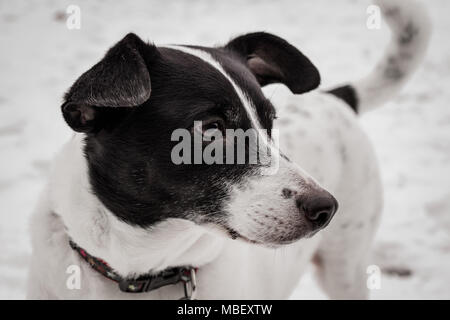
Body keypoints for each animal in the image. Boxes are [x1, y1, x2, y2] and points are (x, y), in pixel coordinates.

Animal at [27, 0, 428, 300]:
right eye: (212, 128)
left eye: (270, 122)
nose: (325, 207)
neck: (141, 269)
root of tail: (336, 97)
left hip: (345, 266)